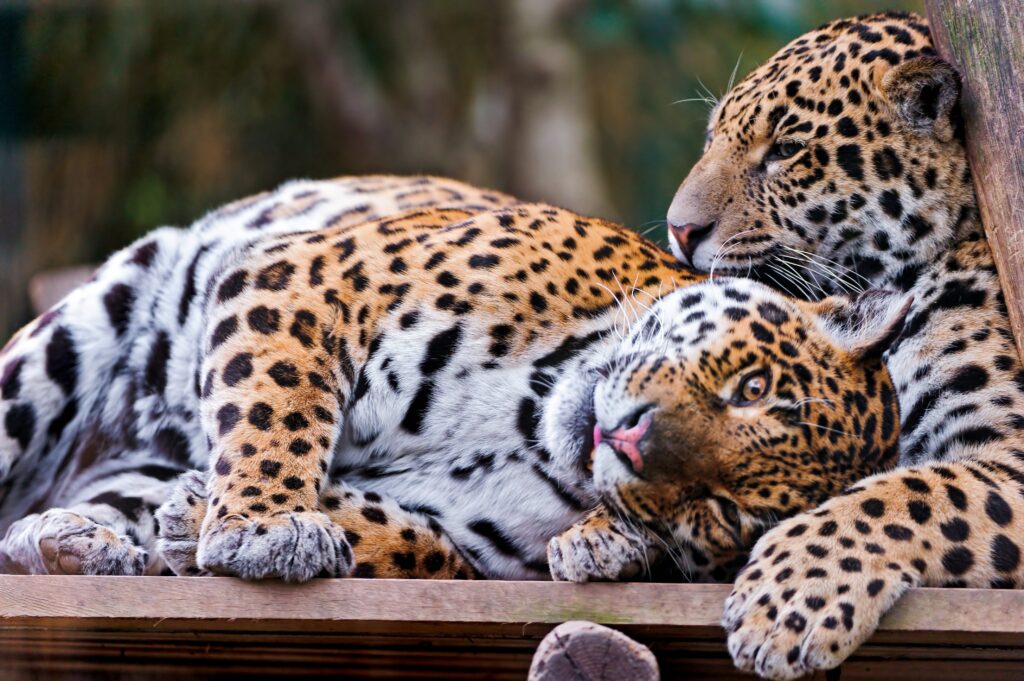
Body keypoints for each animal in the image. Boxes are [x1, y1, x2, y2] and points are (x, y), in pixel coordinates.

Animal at [0, 173, 906, 585]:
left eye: (723, 510)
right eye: (748, 386)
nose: (629, 438)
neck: (526, 418)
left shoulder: (466, 540)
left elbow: (415, 543)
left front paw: (197, 516)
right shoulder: (313, 277)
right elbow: (278, 407)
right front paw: (265, 523)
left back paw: (76, 537)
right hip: (73, 336)